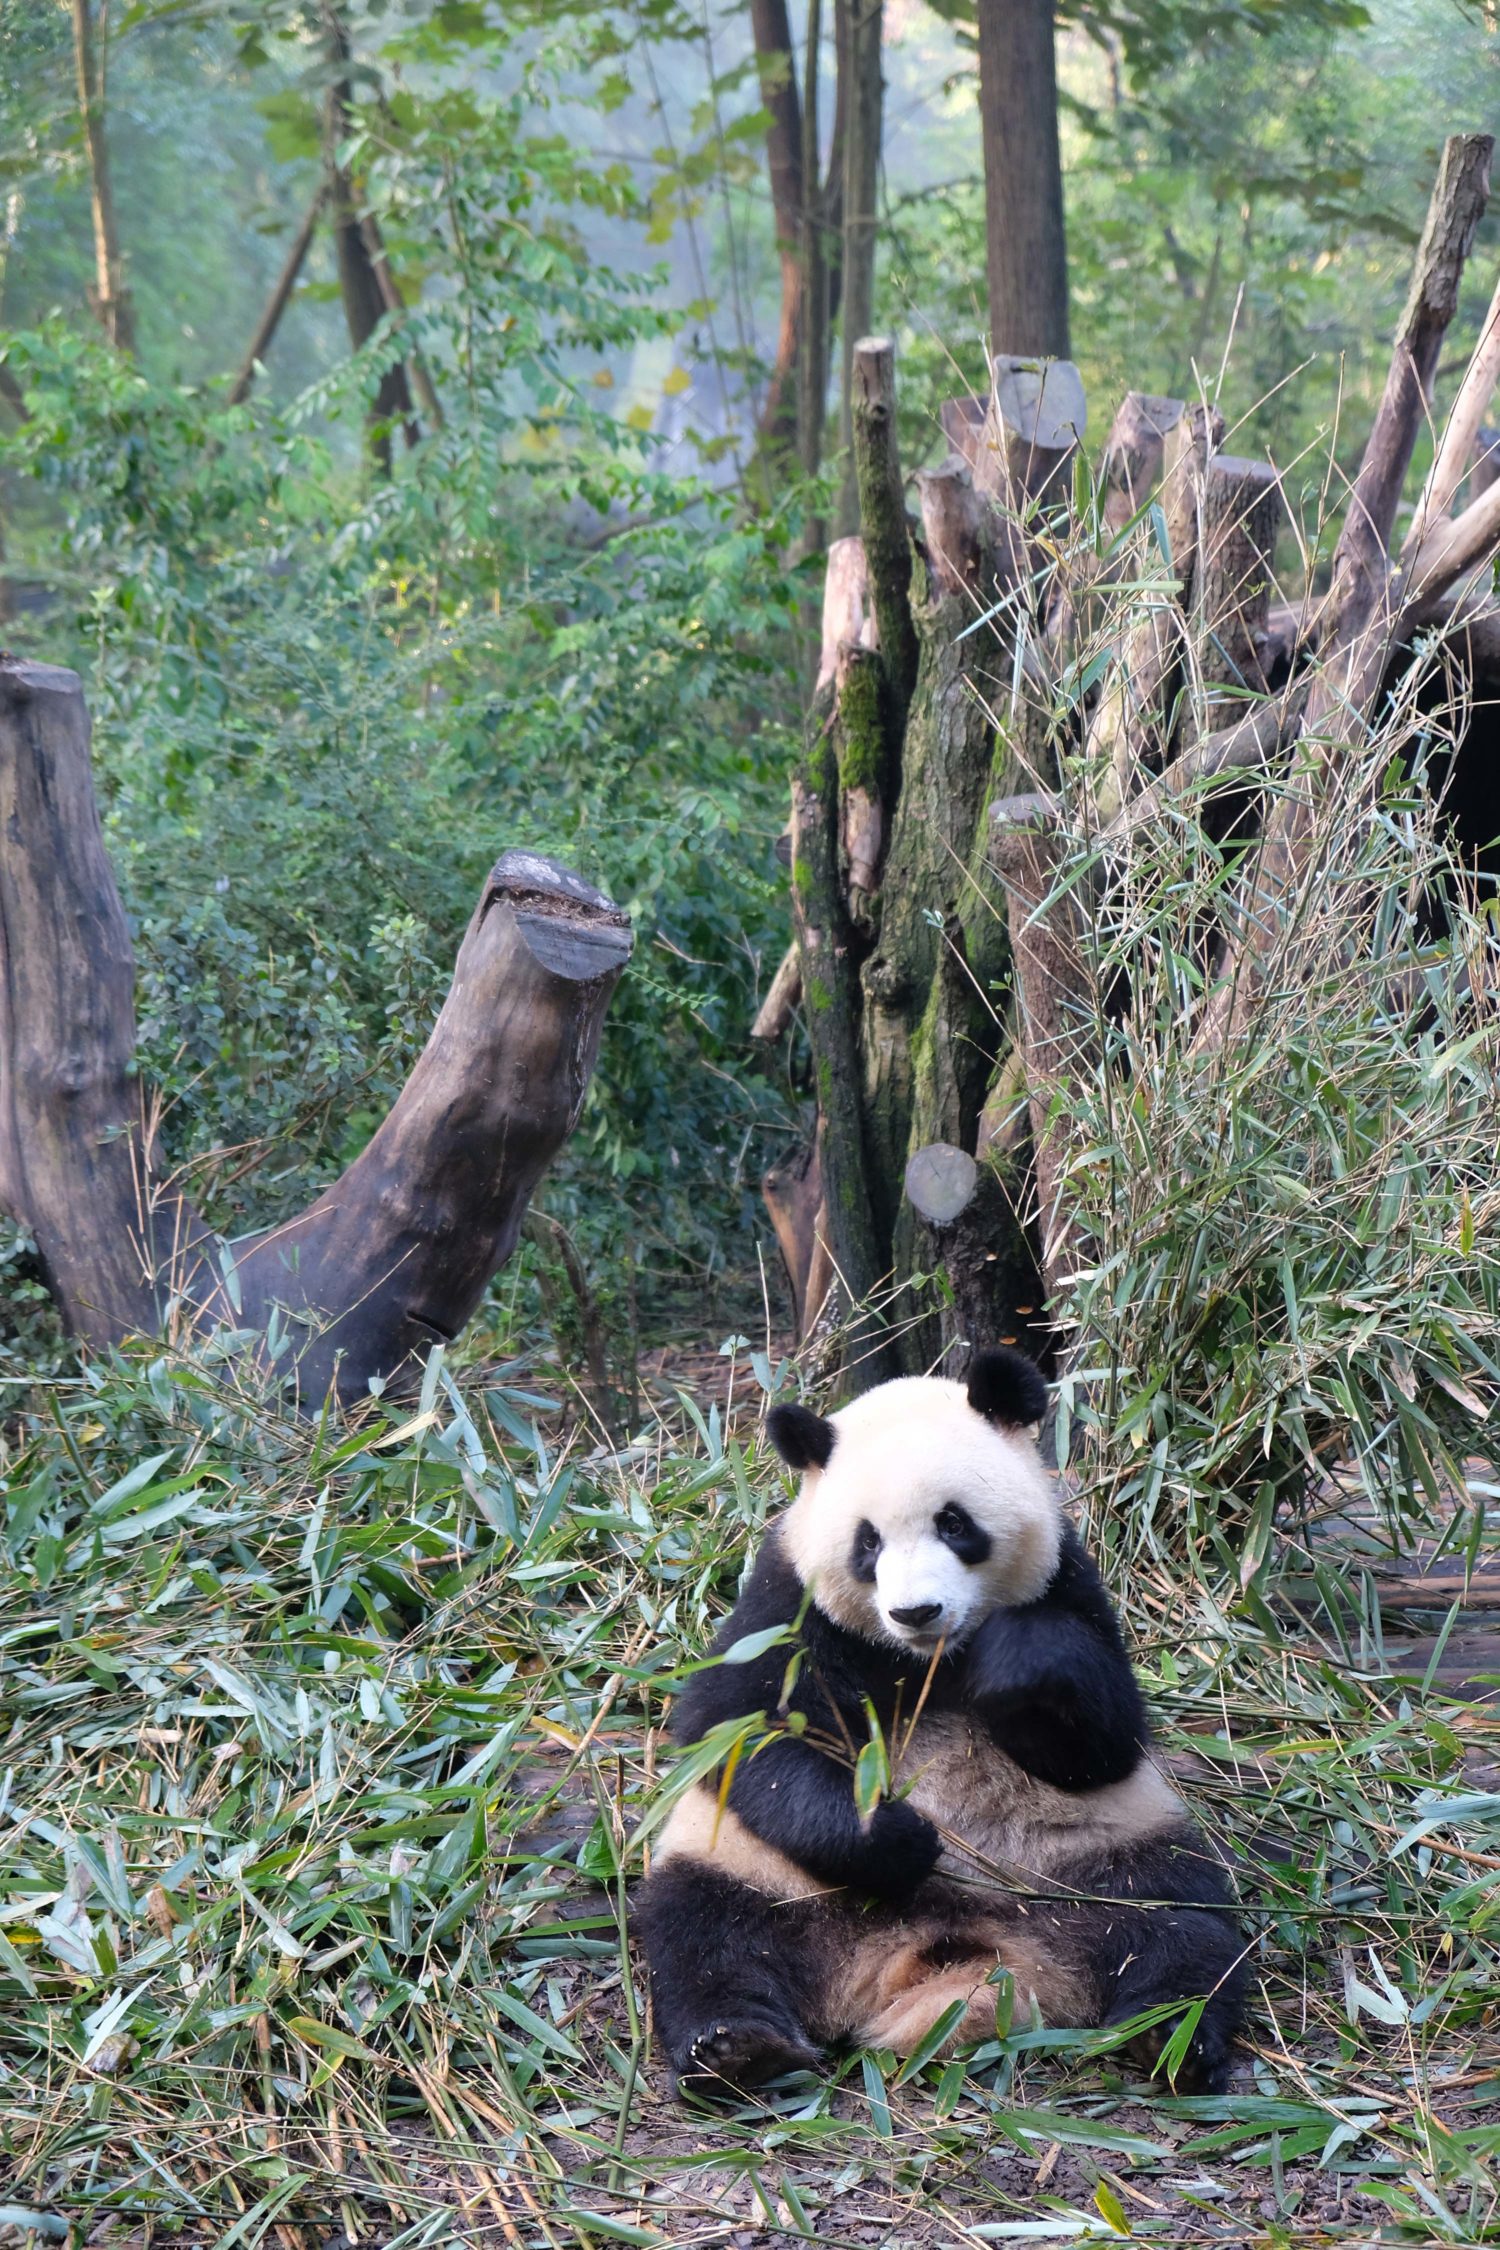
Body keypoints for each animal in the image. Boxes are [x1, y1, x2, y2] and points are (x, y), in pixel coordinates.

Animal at [638, 1350, 1250, 2106]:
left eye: (954, 1524)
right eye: (867, 1542)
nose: (916, 1612)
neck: (928, 1661)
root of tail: (939, 1951)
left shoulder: (1070, 1582)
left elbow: (1106, 1743)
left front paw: (1014, 1662)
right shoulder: (785, 1604)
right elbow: (734, 1727)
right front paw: (897, 1837)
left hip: (1092, 1865)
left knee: (1181, 1924)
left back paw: (1172, 2039)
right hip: (763, 1873)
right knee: (704, 1933)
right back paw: (737, 2049)